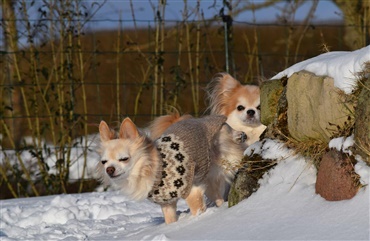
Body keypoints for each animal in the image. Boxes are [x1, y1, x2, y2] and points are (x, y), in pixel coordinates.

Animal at [97, 115, 246, 224]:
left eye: (124, 159)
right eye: (104, 162)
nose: (109, 170)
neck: (155, 168)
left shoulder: (192, 191)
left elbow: (197, 210)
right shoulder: (167, 203)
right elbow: (170, 221)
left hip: (228, 150)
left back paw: (240, 136)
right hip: (209, 181)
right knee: (218, 197)